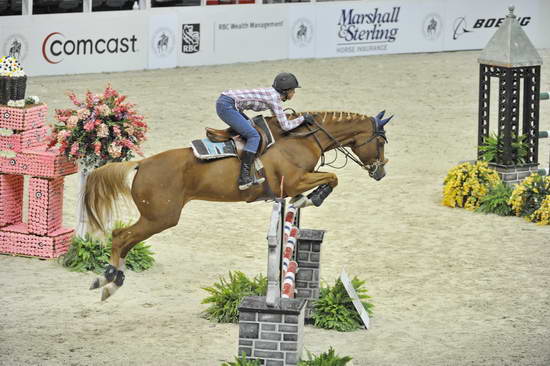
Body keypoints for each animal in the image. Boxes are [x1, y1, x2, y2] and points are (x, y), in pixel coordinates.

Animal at [86, 110, 394, 298]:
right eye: (380, 142)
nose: (380, 173)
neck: (301, 139)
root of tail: (142, 164)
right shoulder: (294, 181)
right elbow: (332, 177)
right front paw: (310, 198)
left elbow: (330, 178)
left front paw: (306, 200)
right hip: (160, 218)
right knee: (120, 236)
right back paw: (109, 280)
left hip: (157, 218)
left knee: (124, 239)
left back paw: (112, 280)